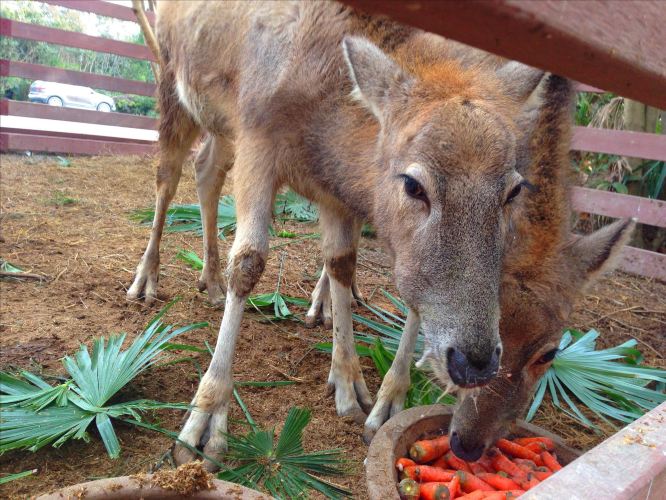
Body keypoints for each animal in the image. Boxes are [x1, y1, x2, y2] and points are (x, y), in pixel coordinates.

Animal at [124, 0, 544, 468]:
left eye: (514, 189)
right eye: (413, 184)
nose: (476, 360)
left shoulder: (334, 192)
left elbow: (342, 263)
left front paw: (355, 388)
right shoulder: (256, 135)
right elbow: (250, 261)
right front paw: (204, 425)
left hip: (219, 126)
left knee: (206, 169)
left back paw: (210, 280)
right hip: (172, 85)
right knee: (168, 174)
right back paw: (146, 278)